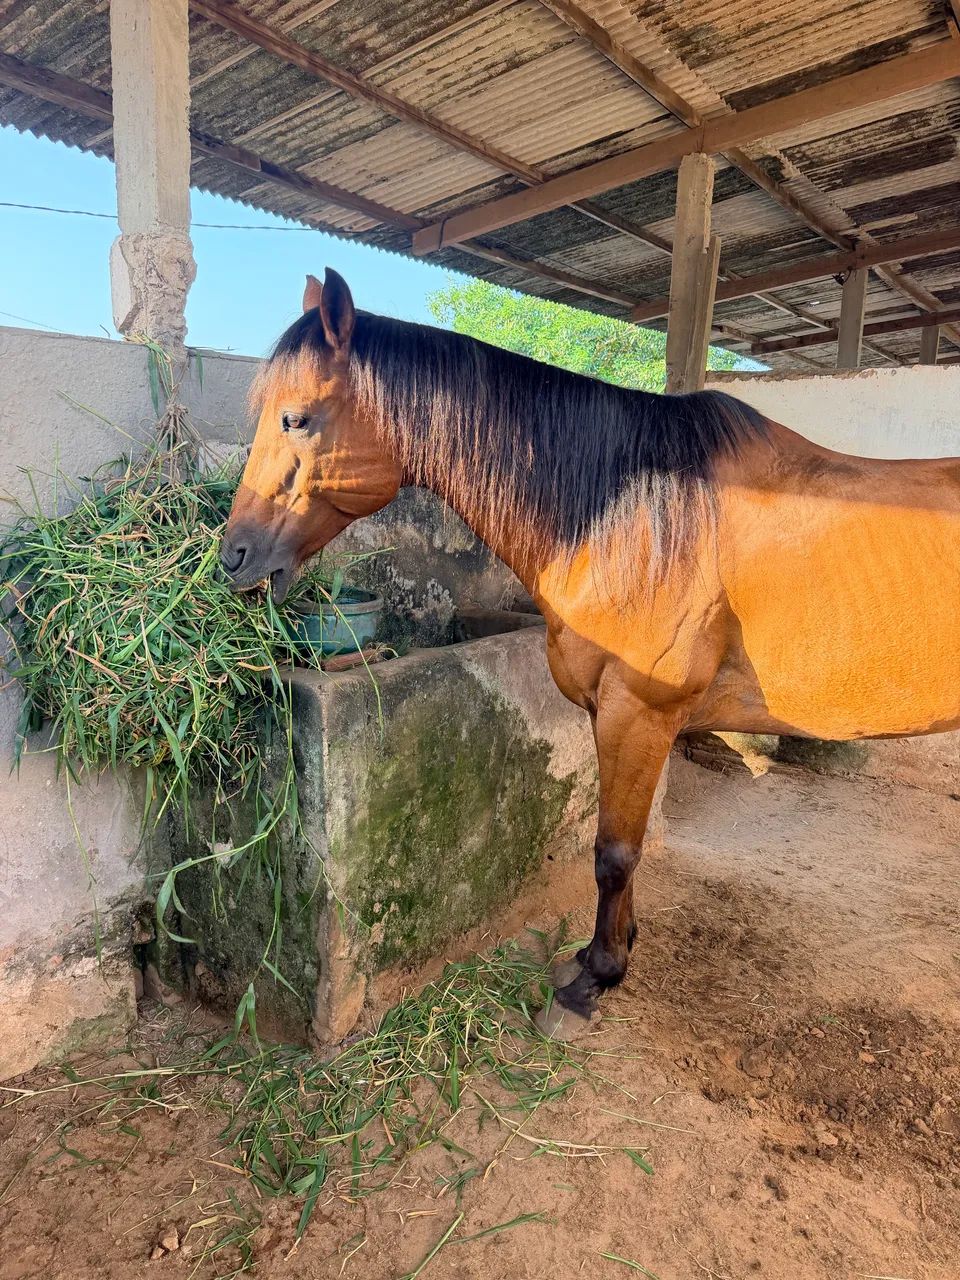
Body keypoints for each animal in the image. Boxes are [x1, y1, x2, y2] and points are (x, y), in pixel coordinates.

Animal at [221, 267, 960, 1039]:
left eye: (296, 418)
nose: (232, 555)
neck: (633, 517)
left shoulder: (638, 713)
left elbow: (613, 854)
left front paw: (592, 981)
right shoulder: (616, 716)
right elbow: (618, 849)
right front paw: (608, 952)